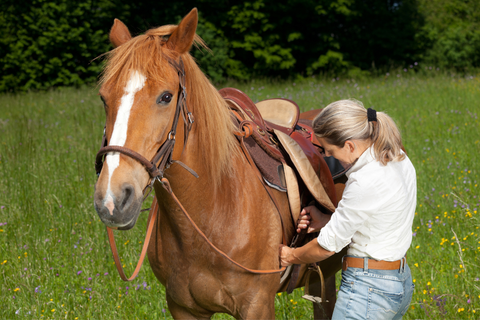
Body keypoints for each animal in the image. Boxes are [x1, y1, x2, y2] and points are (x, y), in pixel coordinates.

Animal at [93, 8, 342, 318]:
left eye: (166, 96)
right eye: (104, 98)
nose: (113, 199)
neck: (215, 207)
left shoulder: (257, 305)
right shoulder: (182, 307)